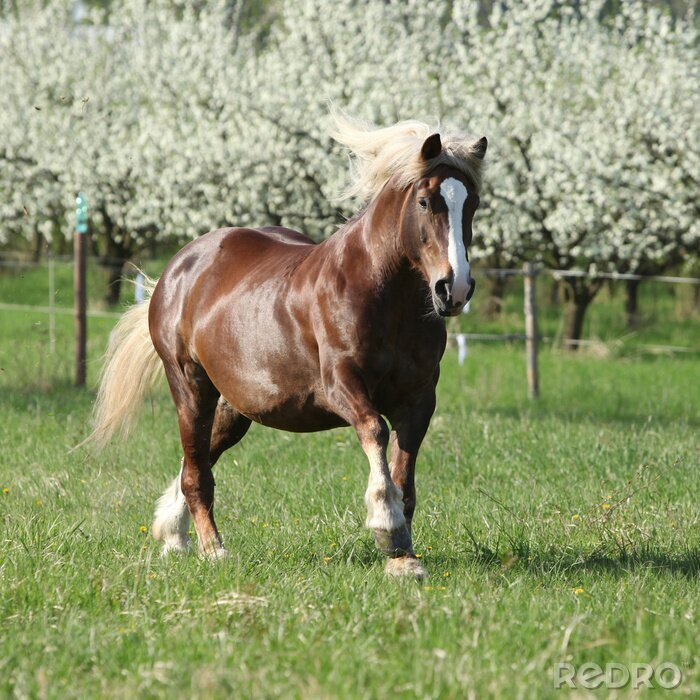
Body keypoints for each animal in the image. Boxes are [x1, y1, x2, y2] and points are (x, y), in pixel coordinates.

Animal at [87, 115, 487, 579]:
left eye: (472, 204)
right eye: (425, 202)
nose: (454, 289)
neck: (385, 295)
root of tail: (176, 269)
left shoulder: (420, 399)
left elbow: (405, 479)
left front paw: (404, 558)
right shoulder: (341, 385)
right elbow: (374, 430)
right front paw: (386, 528)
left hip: (235, 408)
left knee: (197, 458)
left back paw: (173, 534)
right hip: (189, 386)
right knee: (196, 473)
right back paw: (212, 548)